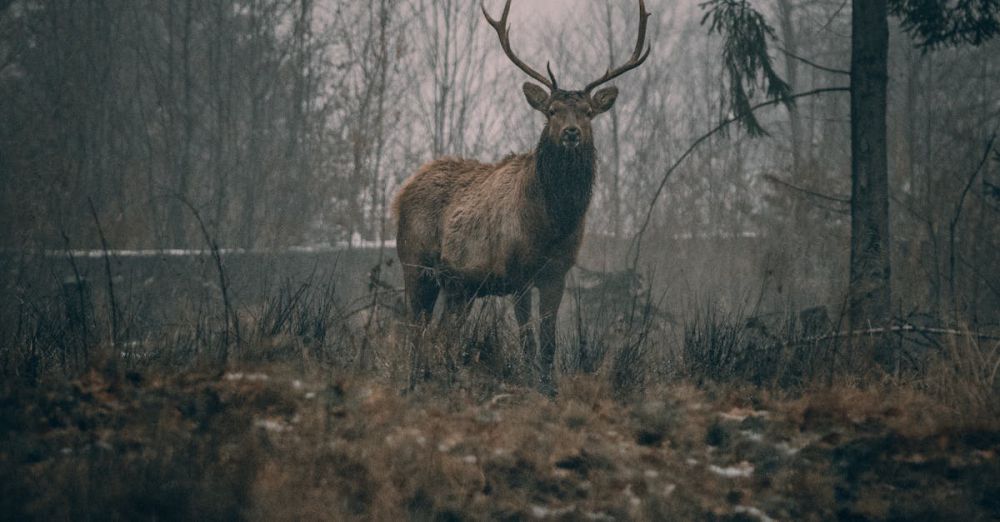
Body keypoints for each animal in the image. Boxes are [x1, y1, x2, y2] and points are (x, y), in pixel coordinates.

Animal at [390, 0, 648, 390]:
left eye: (588, 112)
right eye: (552, 111)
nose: (571, 133)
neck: (552, 224)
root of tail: (402, 191)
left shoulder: (558, 272)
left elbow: (548, 340)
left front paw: (550, 388)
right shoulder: (518, 273)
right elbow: (527, 338)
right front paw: (530, 385)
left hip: (459, 286)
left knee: (443, 333)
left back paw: (443, 379)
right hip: (415, 263)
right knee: (416, 329)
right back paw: (414, 384)